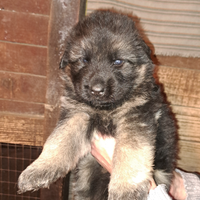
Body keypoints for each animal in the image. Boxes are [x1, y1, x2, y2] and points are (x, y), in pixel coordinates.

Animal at [18, 10, 177, 199]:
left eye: (117, 61)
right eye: (84, 60)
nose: (96, 90)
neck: (105, 109)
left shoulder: (136, 116)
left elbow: (129, 152)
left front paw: (126, 189)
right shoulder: (77, 113)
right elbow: (59, 139)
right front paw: (39, 169)